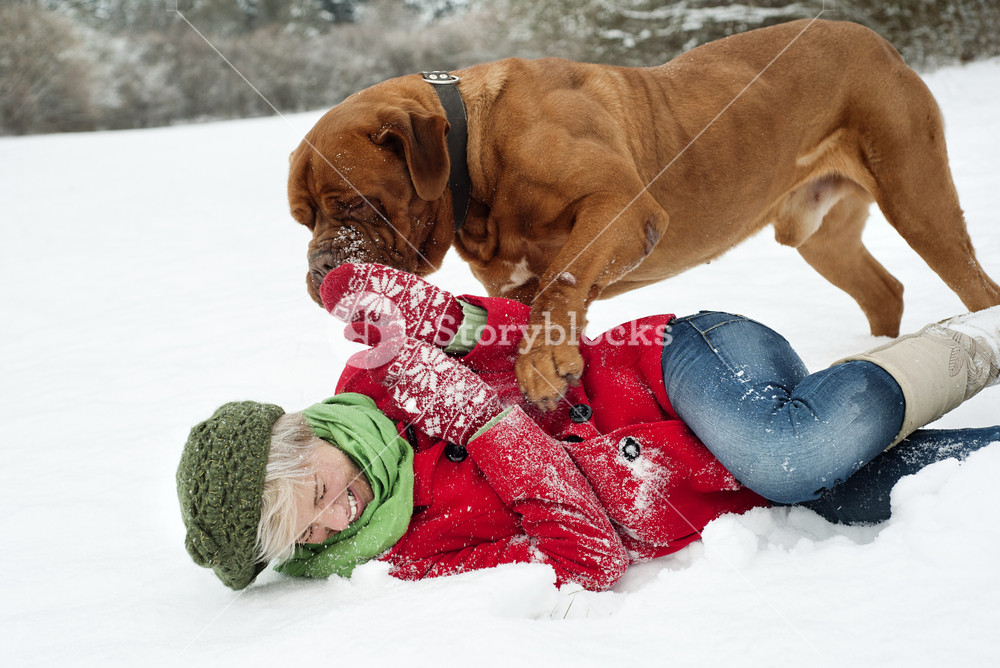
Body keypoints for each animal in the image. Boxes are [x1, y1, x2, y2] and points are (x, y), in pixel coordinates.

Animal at [288, 19, 1000, 408]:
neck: (477, 156)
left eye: (354, 204)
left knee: (975, 286)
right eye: (303, 219)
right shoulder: (516, 282)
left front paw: (541, 363)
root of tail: (880, 44)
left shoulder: (621, 210)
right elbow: (539, 304)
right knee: (884, 289)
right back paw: (876, 352)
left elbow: (563, 281)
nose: (320, 265)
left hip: (918, 199)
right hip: (821, 237)